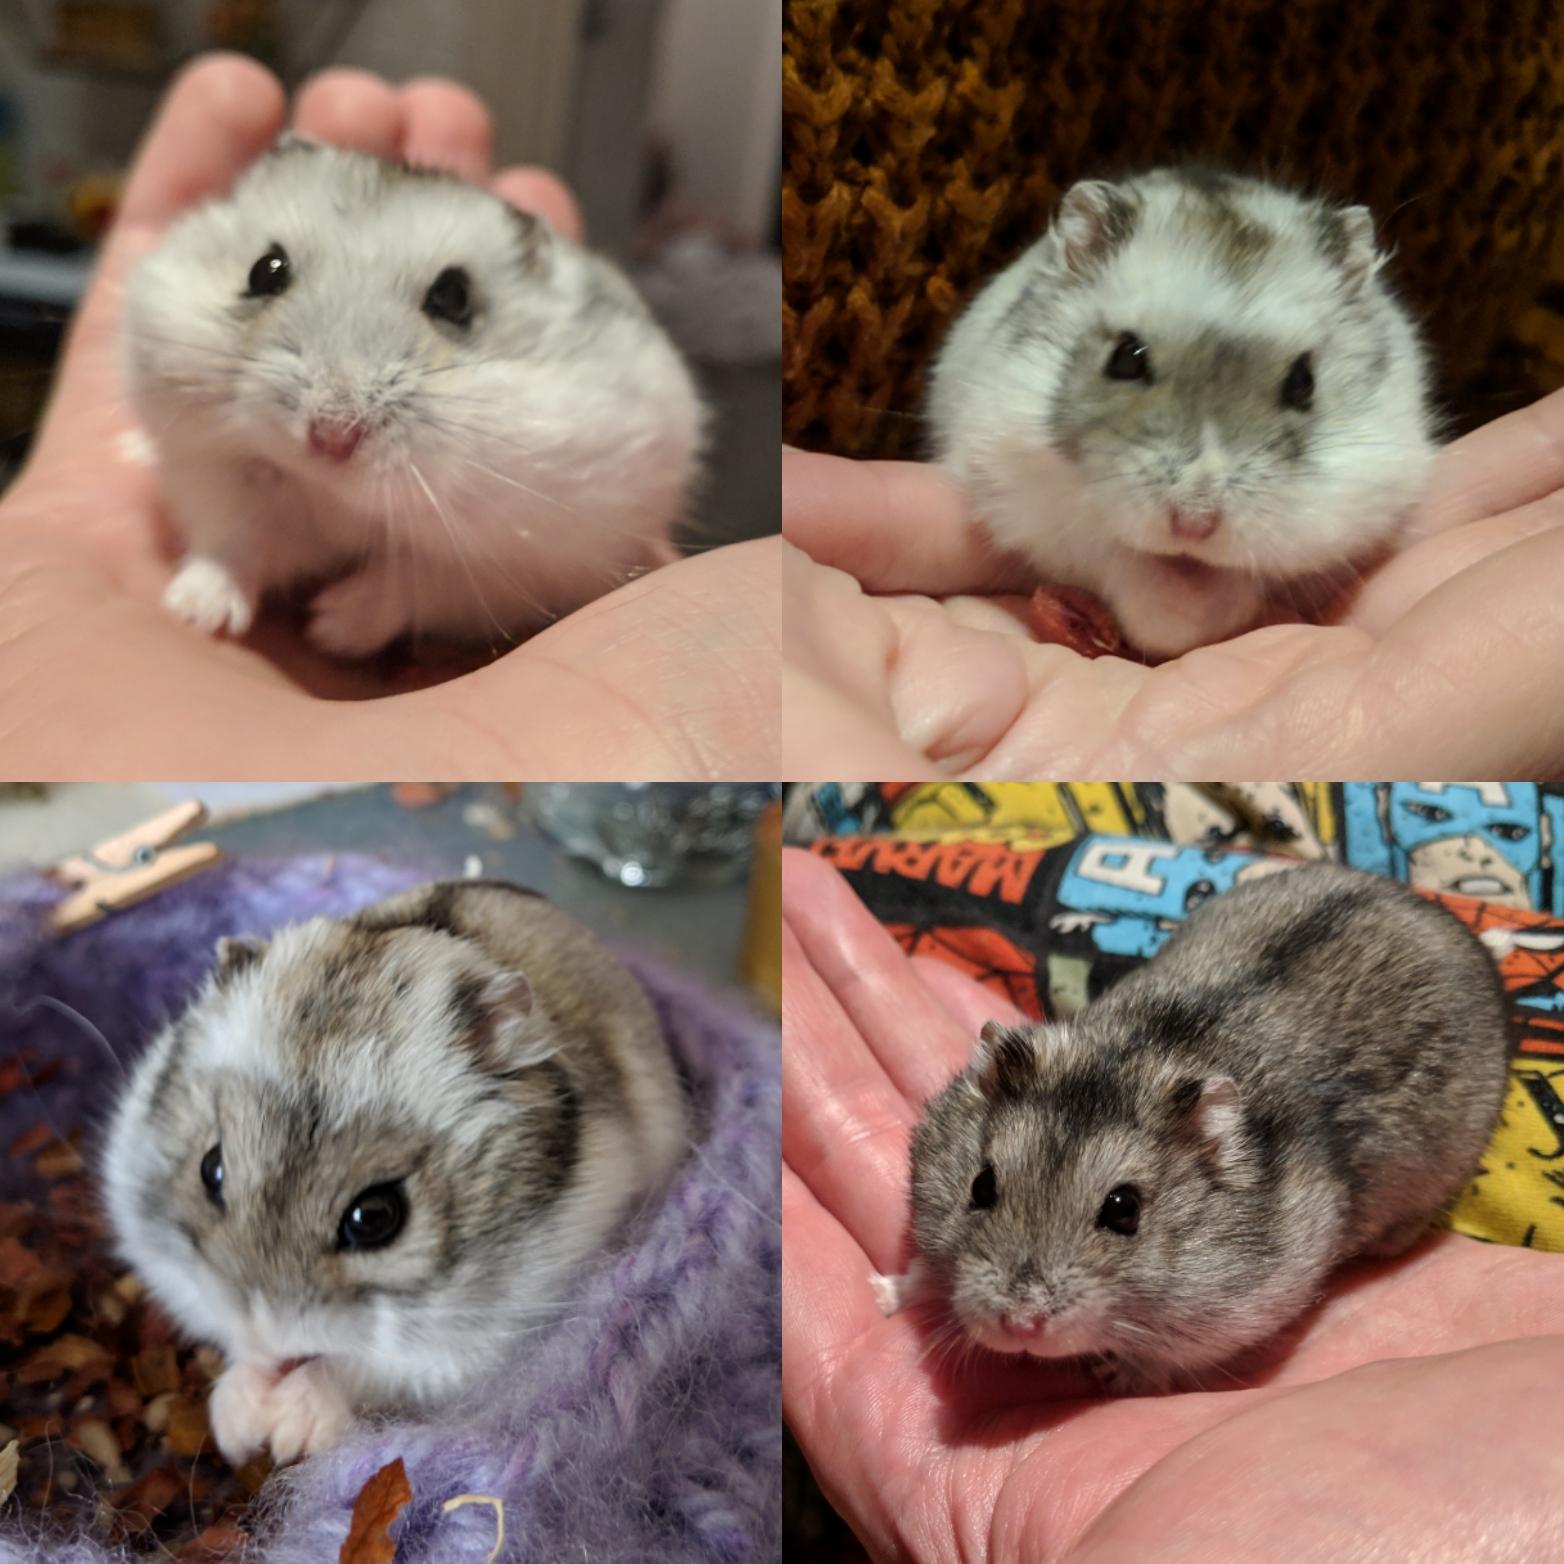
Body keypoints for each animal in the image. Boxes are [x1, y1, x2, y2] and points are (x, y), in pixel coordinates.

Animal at [103, 880, 688, 1464]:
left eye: (376, 1218)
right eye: (212, 1170)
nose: (265, 1335)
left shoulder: (480, 1344)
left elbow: (361, 1368)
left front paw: (287, 1428)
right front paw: (240, 1422)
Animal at [124, 137, 705, 658]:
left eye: (454, 297)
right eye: (264, 271)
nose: (330, 438)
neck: (331, 494)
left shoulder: (514, 565)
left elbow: (412, 583)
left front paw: (328, 626)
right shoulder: (216, 480)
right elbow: (234, 544)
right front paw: (196, 612)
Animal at [890, 863, 1509, 1393]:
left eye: (1124, 1211)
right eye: (981, 1187)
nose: (1019, 1325)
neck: (1135, 1056)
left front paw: (1116, 1376)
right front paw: (893, 1290)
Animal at [927, 168, 1434, 659]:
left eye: (1302, 383)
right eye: (1125, 358)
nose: (1194, 525)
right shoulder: (1027, 502)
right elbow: (1119, 562)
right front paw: (1171, 619)